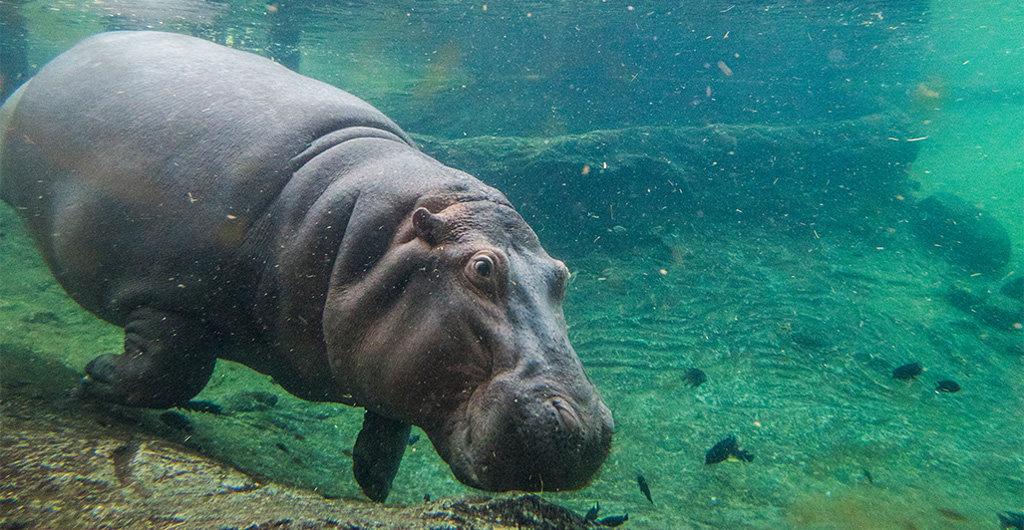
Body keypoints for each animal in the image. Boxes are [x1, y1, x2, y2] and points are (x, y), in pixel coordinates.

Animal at [0, 31, 613, 501]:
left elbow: (390, 420)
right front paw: (95, 376)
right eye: (482, 268)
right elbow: (175, 370)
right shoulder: (170, 296)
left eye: (561, 274)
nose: (587, 430)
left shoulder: (389, 355)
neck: (357, 229)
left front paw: (373, 481)